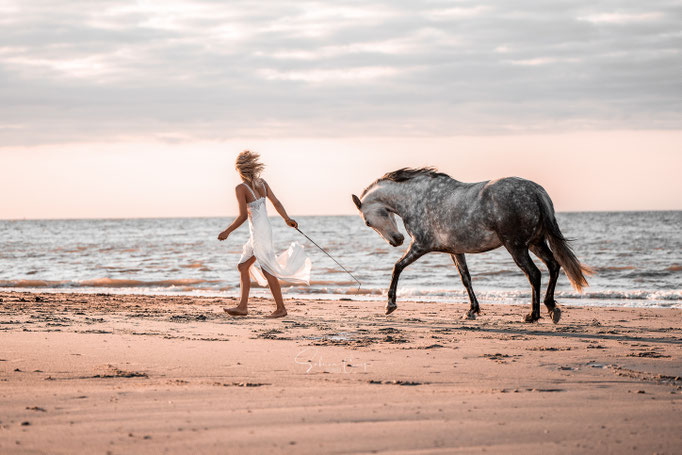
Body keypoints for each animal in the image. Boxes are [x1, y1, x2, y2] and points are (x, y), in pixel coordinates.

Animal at [350, 168, 588, 324]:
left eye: (367, 222)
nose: (396, 240)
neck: (419, 199)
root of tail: (535, 190)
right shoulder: (456, 251)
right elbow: (466, 279)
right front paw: (472, 311)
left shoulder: (420, 245)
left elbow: (397, 267)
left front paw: (390, 305)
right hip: (535, 243)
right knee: (554, 266)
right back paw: (552, 308)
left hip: (517, 247)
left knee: (535, 274)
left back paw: (533, 315)